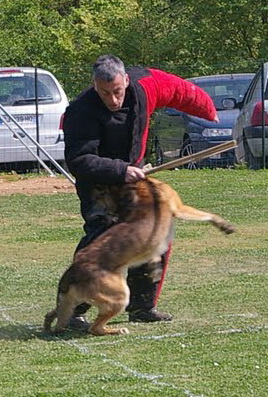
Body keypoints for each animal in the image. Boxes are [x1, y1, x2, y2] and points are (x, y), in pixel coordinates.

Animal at [44, 178, 234, 336]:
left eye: (95, 198)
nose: (92, 215)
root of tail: (73, 270)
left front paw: (154, 269)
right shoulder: (180, 209)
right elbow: (207, 215)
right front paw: (224, 225)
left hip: (74, 301)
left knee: (52, 313)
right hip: (120, 297)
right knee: (94, 328)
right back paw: (116, 330)